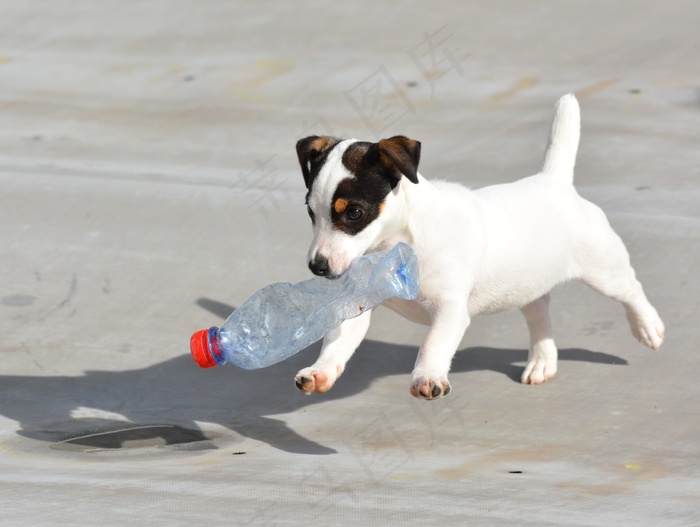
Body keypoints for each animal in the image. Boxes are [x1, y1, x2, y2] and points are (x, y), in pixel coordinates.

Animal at [292, 95, 664, 400]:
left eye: (354, 213)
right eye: (310, 212)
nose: (317, 266)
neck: (397, 246)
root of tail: (554, 181)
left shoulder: (450, 308)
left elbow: (433, 343)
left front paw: (428, 376)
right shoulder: (356, 306)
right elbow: (338, 342)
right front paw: (320, 372)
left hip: (603, 268)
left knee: (631, 289)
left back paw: (648, 327)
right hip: (525, 284)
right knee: (539, 312)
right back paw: (542, 361)